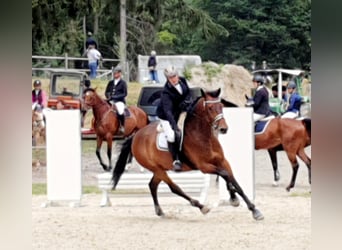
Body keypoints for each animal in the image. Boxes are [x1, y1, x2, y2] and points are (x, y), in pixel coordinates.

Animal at [112, 88, 264, 221]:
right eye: (210, 108)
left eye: (221, 106)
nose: (223, 129)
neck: (203, 137)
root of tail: (136, 136)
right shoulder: (204, 167)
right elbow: (225, 175)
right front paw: (244, 204)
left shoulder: (222, 161)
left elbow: (233, 181)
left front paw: (245, 205)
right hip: (157, 169)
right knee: (174, 188)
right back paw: (201, 207)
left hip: (160, 169)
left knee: (152, 185)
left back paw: (160, 211)